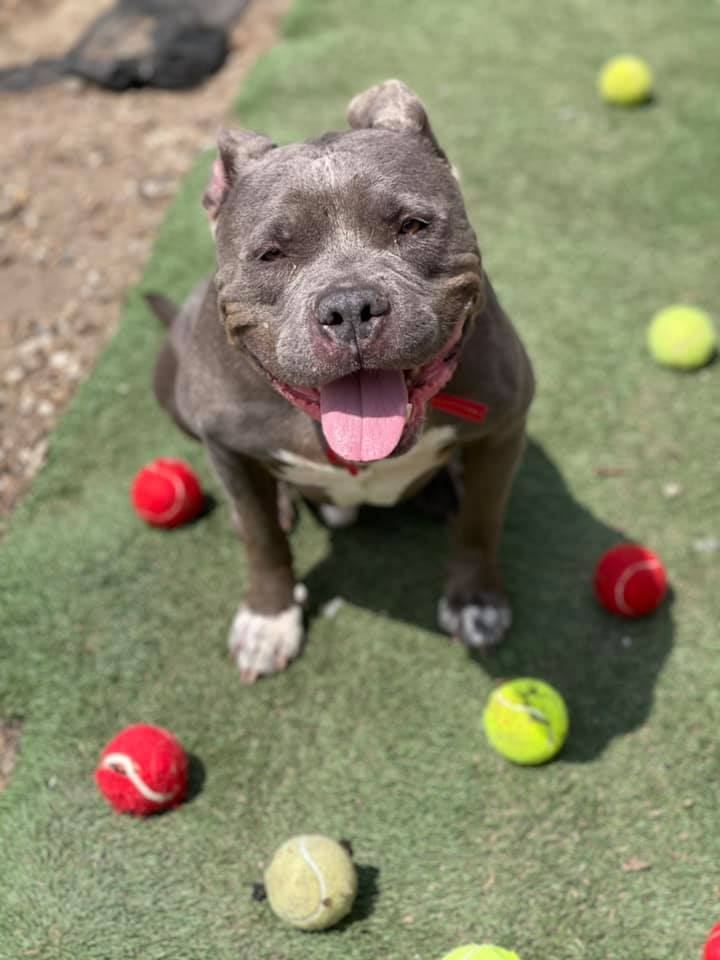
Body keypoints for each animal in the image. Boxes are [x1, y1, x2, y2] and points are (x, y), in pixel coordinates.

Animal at [150, 82, 536, 684]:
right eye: (271, 254)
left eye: (413, 226)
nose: (351, 307)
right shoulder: (224, 442)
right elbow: (263, 541)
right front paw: (269, 618)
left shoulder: (504, 429)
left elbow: (481, 522)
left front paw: (475, 602)